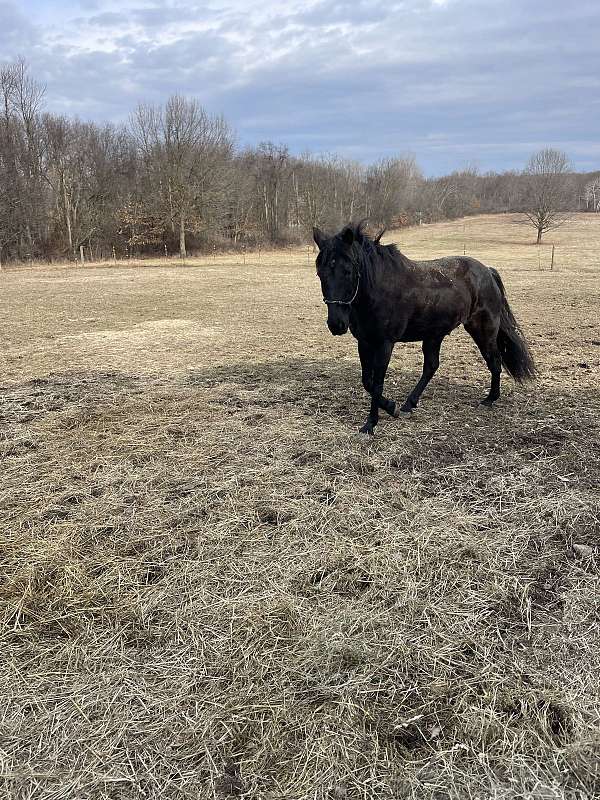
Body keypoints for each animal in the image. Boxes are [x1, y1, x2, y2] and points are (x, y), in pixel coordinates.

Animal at [313, 222, 536, 435]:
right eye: (320, 273)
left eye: (348, 271)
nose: (336, 324)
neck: (379, 288)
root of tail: (488, 272)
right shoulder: (364, 342)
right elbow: (367, 381)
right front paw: (392, 407)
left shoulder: (385, 344)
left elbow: (377, 383)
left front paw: (370, 424)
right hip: (434, 335)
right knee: (431, 366)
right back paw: (408, 405)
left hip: (483, 330)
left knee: (494, 361)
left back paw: (490, 399)